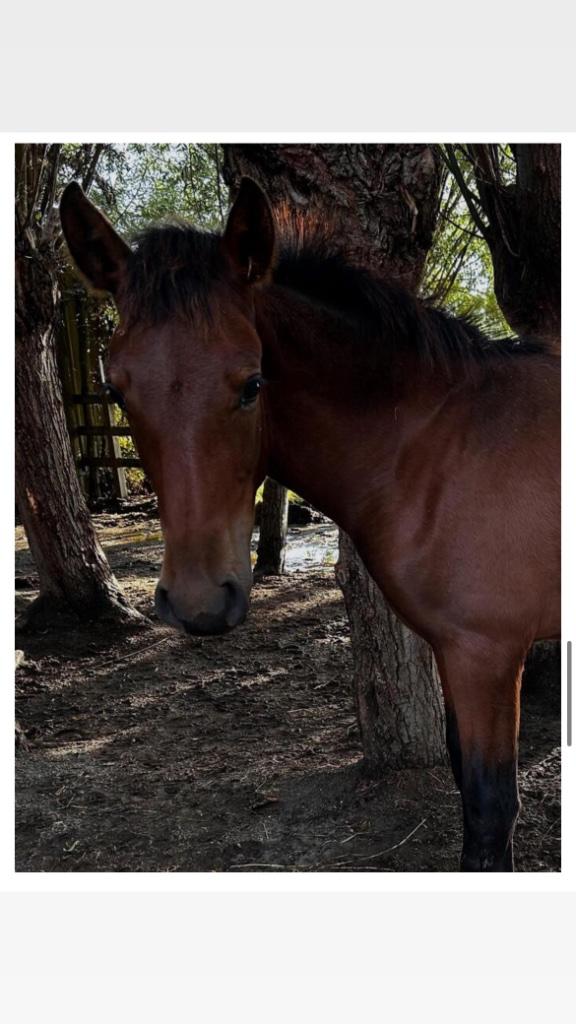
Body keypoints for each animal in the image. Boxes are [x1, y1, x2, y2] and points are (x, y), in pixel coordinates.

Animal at [60, 177, 560, 872]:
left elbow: (489, 811)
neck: (444, 440)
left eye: (253, 383)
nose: (198, 604)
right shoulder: (455, 654)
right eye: (117, 393)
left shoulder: (487, 655)